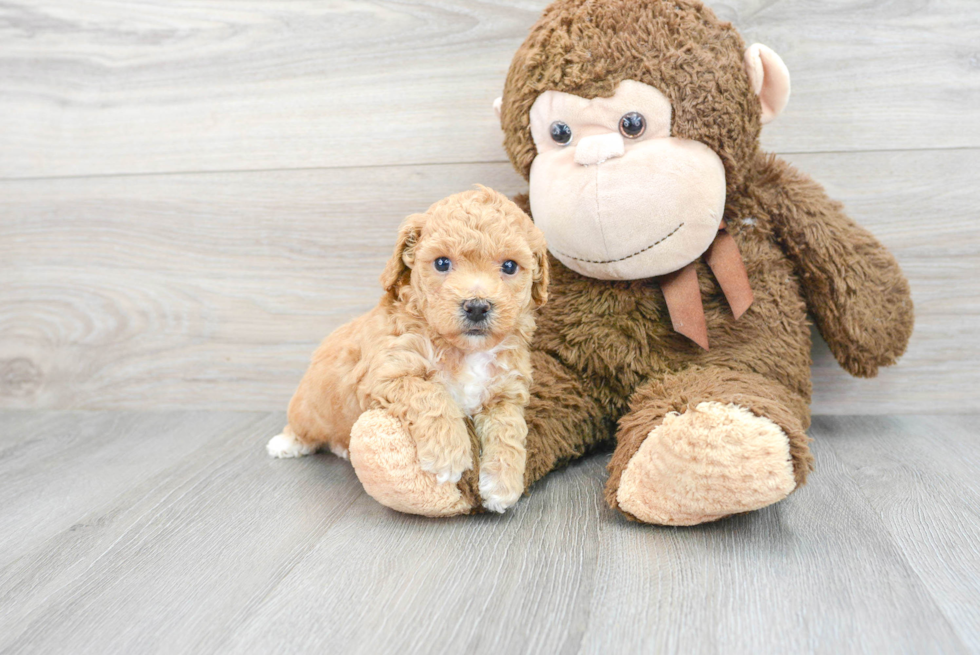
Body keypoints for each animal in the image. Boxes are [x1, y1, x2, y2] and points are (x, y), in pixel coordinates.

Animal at [264, 187, 548, 516]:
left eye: (510, 266)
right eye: (441, 263)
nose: (477, 306)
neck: (463, 350)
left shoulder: (504, 393)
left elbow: (509, 432)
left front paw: (503, 485)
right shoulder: (388, 372)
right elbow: (431, 394)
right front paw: (449, 454)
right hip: (309, 407)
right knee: (302, 428)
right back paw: (286, 444)